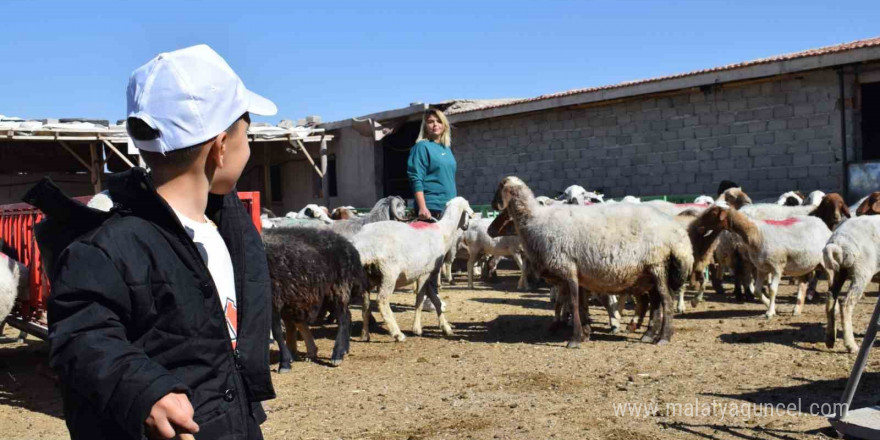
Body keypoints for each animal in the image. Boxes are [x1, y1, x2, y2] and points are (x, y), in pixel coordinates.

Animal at [264, 225, 368, 370]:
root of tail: (349, 246)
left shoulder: (273, 297)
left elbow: (277, 331)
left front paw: (284, 363)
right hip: (323, 294)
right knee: (348, 316)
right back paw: (343, 349)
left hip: (338, 287)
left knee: (343, 319)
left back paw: (337, 355)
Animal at [352, 198, 474, 342]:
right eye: (468, 215)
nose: (466, 226)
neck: (443, 232)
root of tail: (362, 246)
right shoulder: (424, 274)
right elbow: (419, 300)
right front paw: (417, 329)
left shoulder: (428, 274)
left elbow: (436, 300)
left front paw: (446, 328)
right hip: (389, 274)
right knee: (382, 301)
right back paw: (397, 334)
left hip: (366, 278)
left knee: (365, 305)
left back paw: (365, 334)